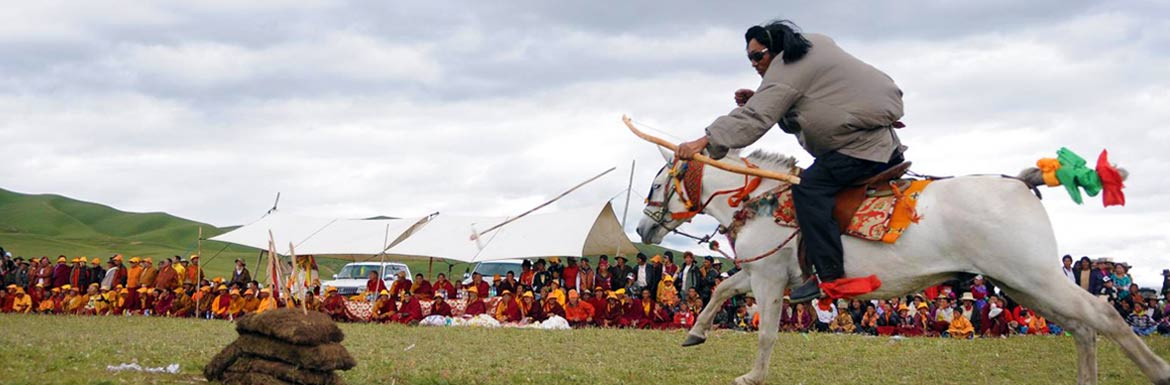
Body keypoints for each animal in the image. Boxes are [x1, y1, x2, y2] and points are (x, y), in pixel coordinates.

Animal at [641, 145, 1170, 381]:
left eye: (655, 185)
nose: (644, 229)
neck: (762, 201)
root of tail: (1020, 182)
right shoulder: (759, 272)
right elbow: (719, 291)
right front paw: (696, 333)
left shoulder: (770, 278)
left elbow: (767, 331)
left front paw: (752, 376)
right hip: (1021, 283)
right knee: (1082, 328)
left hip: (1033, 276)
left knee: (1101, 314)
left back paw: (1157, 368)